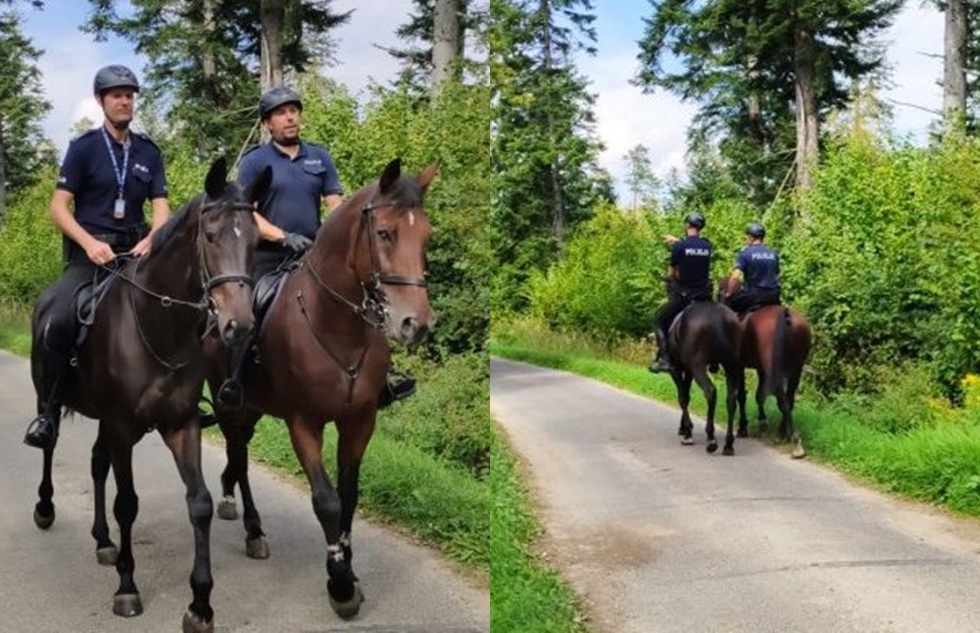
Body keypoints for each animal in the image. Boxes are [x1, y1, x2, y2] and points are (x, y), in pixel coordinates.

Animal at [31, 157, 268, 628]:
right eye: (210, 236)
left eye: (254, 240)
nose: (239, 324)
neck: (159, 329)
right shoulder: (122, 428)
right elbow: (127, 503)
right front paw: (127, 588)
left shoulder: (180, 425)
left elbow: (200, 503)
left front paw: (200, 603)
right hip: (49, 398)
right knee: (49, 446)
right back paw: (46, 509)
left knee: (96, 464)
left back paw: (103, 541)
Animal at [201, 157, 438, 616]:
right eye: (384, 233)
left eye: (427, 235)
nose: (415, 324)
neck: (335, 324)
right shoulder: (303, 422)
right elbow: (326, 500)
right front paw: (340, 584)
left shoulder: (359, 421)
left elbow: (349, 494)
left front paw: (349, 566)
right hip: (229, 405)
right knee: (239, 457)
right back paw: (252, 529)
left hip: (253, 408)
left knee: (238, 456)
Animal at [668, 300, 744, 454]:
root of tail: (721, 319)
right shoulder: (688, 371)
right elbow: (686, 395)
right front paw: (685, 428)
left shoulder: (677, 369)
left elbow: (682, 397)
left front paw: (687, 433)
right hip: (731, 365)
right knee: (731, 399)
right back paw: (728, 444)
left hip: (698, 366)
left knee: (710, 391)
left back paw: (711, 439)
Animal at [720, 278, 812, 456]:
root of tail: (786, 317)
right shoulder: (761, 368)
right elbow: (759, 395)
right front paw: (762, 423)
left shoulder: (739, 365)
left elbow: (742, 395)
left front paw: (743, 428)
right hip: (796, 368)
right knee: (789, 399)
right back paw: (782, 433)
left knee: (782, 399)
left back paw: (793, 439)